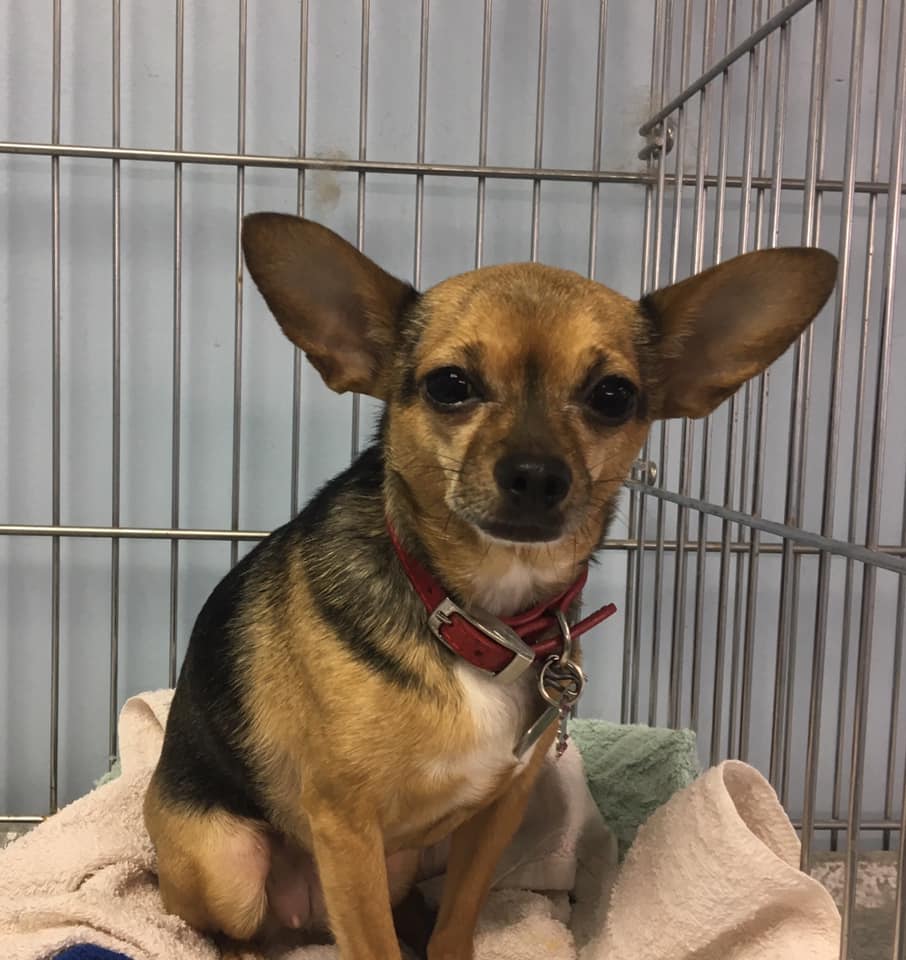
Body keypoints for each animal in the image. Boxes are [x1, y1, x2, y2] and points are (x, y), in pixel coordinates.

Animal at [143, 213, 837, 960]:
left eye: (613, 396)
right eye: (450, 385)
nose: (536, 474)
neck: (476, 616)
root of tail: (298, 921)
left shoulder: (497, 809)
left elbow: (459, 915)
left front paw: (445, 939)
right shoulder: (344, 823)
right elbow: (375, 946)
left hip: (396, 863)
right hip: (229, 861)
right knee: (216, 929)